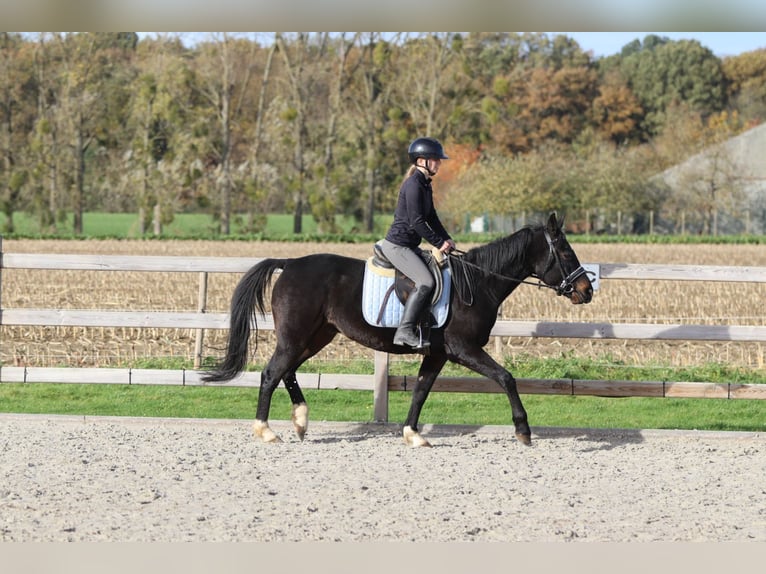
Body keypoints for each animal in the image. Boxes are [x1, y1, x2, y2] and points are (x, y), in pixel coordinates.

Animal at [201, 212, 593, 447]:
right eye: (564, 252)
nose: (586, 290)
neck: (478, 283)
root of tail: (291, 262)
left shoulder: (438, 354)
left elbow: (420, 391)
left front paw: (413, 434)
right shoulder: (464, 349)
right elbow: (506, 378)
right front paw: (523, 430)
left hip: (316, 336)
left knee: (288, 371)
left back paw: (300, 422)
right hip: (296, 337)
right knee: (271, 373)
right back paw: (266, 430)